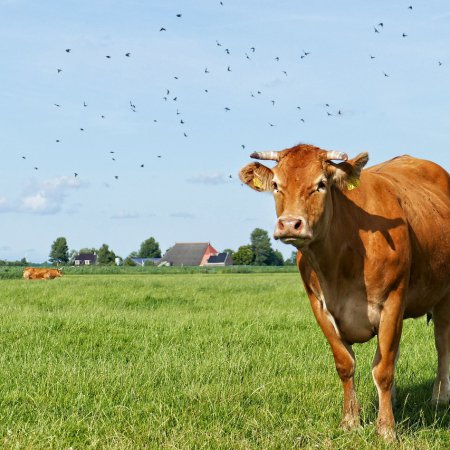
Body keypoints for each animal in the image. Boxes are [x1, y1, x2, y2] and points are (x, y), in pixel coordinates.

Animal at [239, 144, 450, 440]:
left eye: (321, 184)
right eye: (277, 185)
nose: (290, 224)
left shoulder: (393, 300)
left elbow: (383, 370)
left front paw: (386, 429)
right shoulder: (320, 306)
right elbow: (346, 364)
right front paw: (351, 421)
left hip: (443, 296)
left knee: (441, 343)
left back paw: (439, 397)